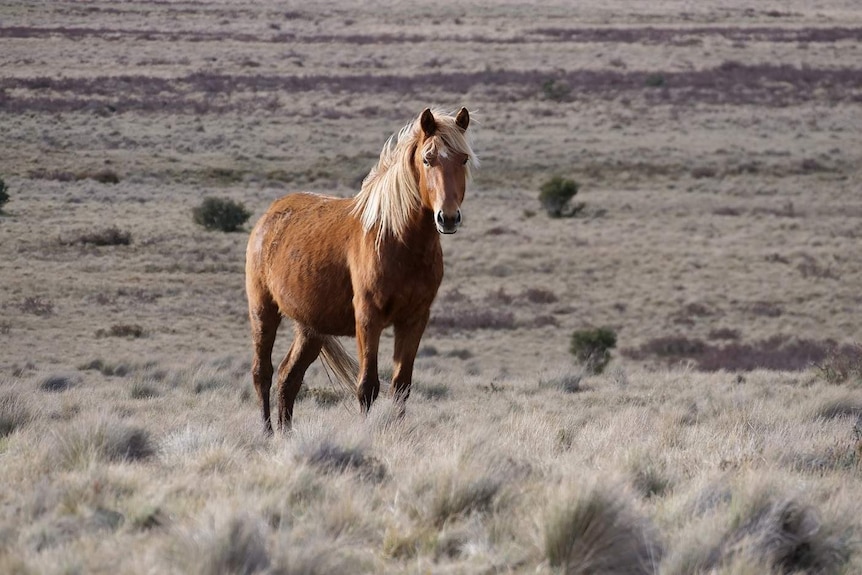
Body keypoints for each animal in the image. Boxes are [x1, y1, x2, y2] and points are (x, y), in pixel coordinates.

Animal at [246, 107, 476, 432]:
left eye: (463, 159)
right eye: (428, 159)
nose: (449, 218)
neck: (397, 239)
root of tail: (269, 217)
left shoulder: (414, 320)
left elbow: (401, 385)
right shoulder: (368, 318)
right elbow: (367, 385)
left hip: (310, 329)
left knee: (288, 377)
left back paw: (285, 435)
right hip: (263, 311)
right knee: (262, 373)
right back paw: (267, 433)